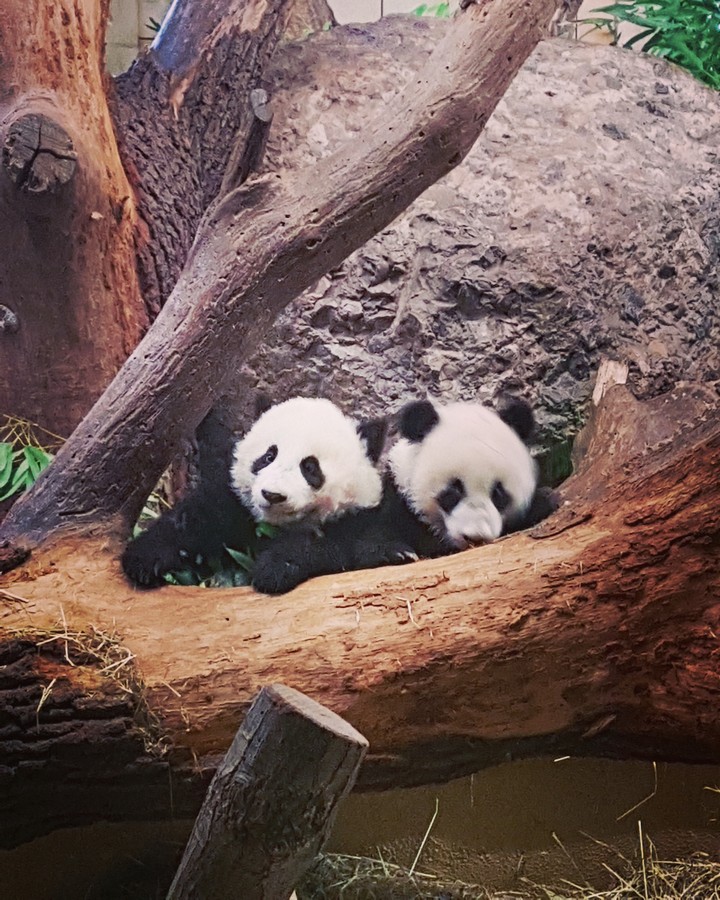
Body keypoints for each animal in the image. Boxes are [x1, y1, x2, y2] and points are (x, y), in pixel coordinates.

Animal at [121, 397, 387, 588]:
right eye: (268, 456)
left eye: (310, 467)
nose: (273, 495)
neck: (275, 526)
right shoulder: (233, 504)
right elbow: (195, 519)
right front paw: (144, 558)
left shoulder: (356, 520)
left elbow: (339, 548)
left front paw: (275, 568)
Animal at [250, 396, 557, 594]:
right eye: (453, 491)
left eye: (499, 494)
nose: (475, 537)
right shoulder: (389, 506)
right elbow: (356, 545)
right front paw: (395, 552)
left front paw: (544, 502)